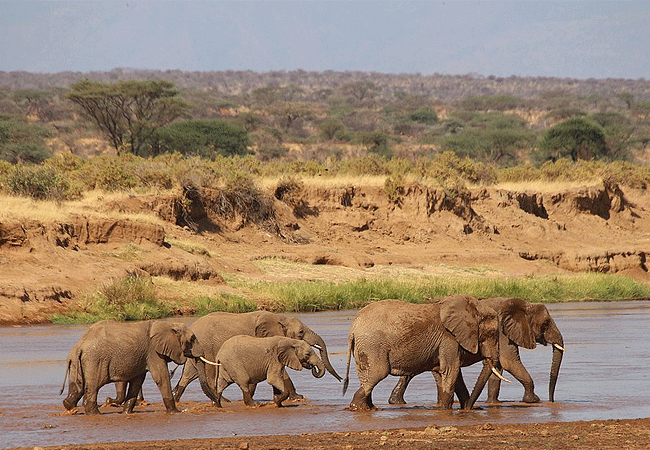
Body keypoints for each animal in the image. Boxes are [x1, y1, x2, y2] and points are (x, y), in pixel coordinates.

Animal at [60, 320, 218, 414]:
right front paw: (175, 412)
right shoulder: (153, 352)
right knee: (93, 386)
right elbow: (161, 377)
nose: (218, 404)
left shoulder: (144, 356)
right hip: (95, 360)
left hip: (77, 362)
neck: (167, 324)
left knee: (78, 385)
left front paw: (126, 412)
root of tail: (80, 345)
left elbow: (137, 380)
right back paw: (95, 413)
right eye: (192, 339)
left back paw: (69, 407)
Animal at [172, 312, 344, 402]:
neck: (280, 318)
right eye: (301, 332)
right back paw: (224, 401)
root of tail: (192, 326)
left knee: (188, 374)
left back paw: (177, 398)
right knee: (210, 373)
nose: (342, 380)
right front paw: (297, 397)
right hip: (208, 347)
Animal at [342, 296, 524, 412]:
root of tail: (353, 327)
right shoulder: (449, 339)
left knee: (367, 376)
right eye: (491, 334)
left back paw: (369, 408)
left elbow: (454, 374)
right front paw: (446, 410)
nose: (471, 407)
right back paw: (359, 407)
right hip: (372, 346)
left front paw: (465, 409)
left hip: (364, 348)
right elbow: (451, 371)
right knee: (377, 373)